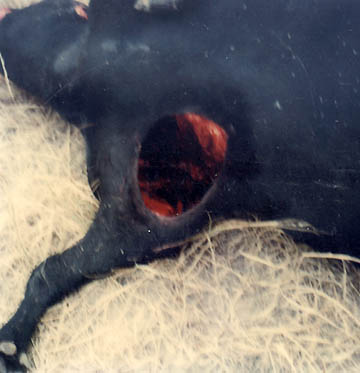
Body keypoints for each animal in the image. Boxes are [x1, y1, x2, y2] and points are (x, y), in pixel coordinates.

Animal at [0, 0, 360, 370]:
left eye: (76, 8)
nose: (8, 17)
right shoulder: (147, 206)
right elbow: (58, 268)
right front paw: (11, 348)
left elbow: (54, 269)